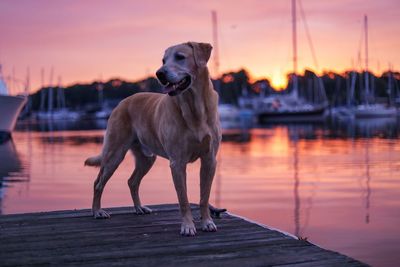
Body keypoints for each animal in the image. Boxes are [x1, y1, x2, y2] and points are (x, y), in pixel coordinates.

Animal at [84, 41, 222, 237]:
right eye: (163, 60)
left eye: (180, 57)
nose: (159, 73)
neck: (195, 107)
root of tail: (122, 102)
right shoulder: (177, 163)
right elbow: (184, 199)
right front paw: (188, 226)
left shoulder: (209, 160)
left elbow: (204, 197)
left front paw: (207, 222)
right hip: (114, 154)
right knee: (98, 182)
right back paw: (97, 211)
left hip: (146, 158)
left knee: (132, 181)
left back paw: (139, 208)